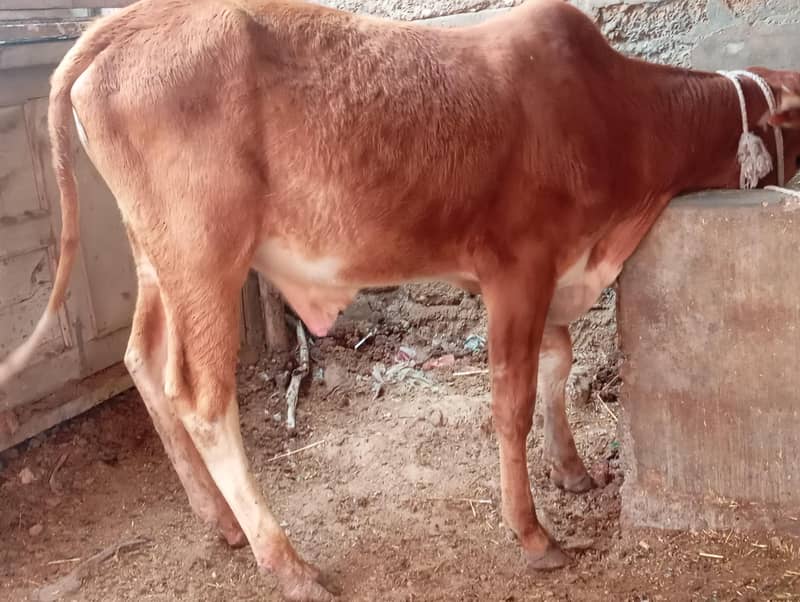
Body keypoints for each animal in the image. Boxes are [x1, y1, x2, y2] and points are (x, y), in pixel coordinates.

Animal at [2, 0, 800, 599]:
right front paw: (533, 534)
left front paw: (572, 471)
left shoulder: (548, 274)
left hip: (157, 255)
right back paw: (286, 562)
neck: (618, 125)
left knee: (143, 359)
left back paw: (219, 522)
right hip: (204, 254)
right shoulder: (519, 266)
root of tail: (130, 18)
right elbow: (510, 401)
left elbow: (558, 360)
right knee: (202, 400)